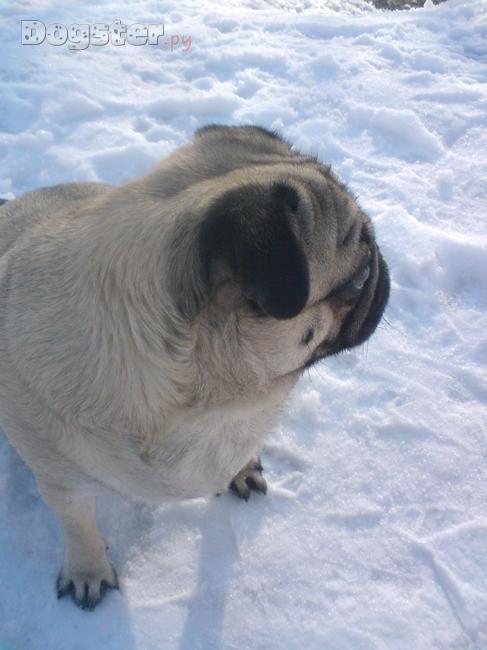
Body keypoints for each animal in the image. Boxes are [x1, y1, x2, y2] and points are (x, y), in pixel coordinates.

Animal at [0, 125, 390, 610]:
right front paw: (87, 570)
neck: (209, 404)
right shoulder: (61, 483)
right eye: (358, 278)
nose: (382, 267)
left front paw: (240, 468)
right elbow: (79, 527)